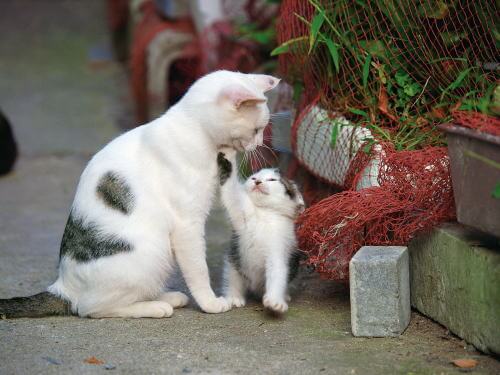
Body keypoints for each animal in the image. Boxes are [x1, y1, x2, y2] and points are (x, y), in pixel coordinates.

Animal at [0, 70, 282, 320]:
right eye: (257, 129)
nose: (259, 144)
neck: (194, 131)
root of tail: (63, 285)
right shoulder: (187, 224)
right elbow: (198, 269)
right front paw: (210, 303)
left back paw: (167, 297)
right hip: (152, 253)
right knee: (90, 308)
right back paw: (156, 307)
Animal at [218, 150, 304, 314]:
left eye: (272, 179)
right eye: (253, 177)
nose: (257, 181)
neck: (264, 213)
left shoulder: (279, 248)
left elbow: (277, 271)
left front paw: (275, 301)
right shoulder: (241, 214)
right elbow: (231, 194)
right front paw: (229, 154)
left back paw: (284, 295)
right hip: (235, 261)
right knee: (232, 277)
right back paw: (234, 297)